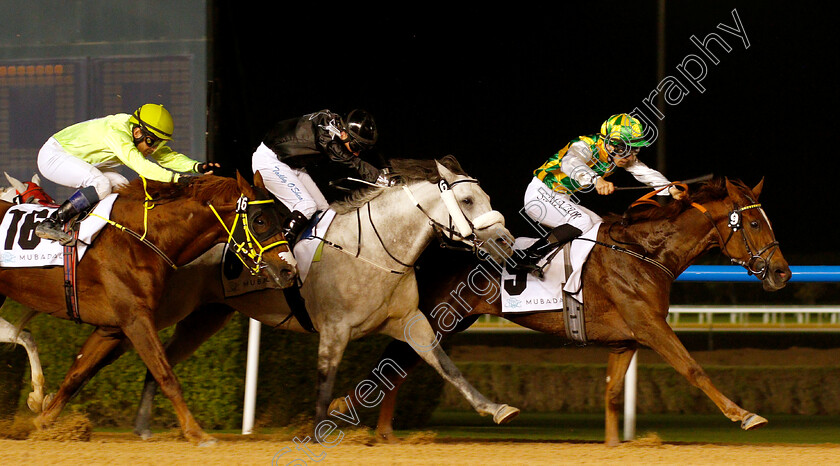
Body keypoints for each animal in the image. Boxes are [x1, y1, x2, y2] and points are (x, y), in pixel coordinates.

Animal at [0, 172, 296, 444]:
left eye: (281, 217)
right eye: (260, 220)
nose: (289, 269)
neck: (143, 238)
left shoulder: (113, 327)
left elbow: (78, 372)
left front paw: (44, 421)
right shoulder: (135, 318)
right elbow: (165, 375)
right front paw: (196, 432)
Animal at [126, 155, 520, 438]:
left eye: (486, 197)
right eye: (467, 199)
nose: (506, 242)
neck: (375, 250)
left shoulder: (410, 321)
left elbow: (444, 364)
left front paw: (496, 408)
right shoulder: (334, 329)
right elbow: (325, 378)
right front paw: (318, 431)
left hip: (205, 317)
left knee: (161, 359)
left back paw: (144, 425)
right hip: (168, 305)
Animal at [332, 177, 792, 446]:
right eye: (754, 224)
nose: (782, 273)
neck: (644, 253)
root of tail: (431, 247)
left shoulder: (627, 338)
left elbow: (612, 391)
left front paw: (613, 444)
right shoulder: (650, 325)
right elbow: (693, 369)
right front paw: (745, 415)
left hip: (449, 320)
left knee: (404, 361)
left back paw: (384, 430)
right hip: (440, 316)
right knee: (398, 360)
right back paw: (357, 416)